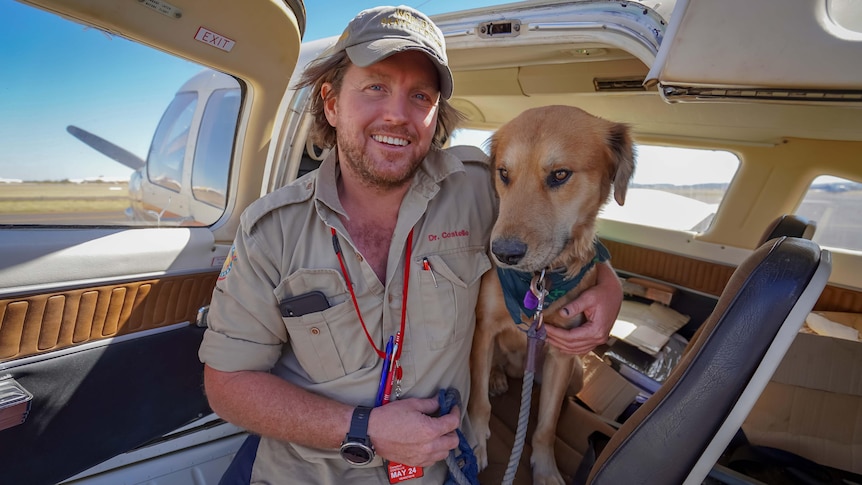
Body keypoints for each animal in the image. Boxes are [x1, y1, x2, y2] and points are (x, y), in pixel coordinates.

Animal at [470, 107, 636, 484]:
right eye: (504, 173)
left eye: (560, 174)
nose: (503, 254)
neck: (539, 279)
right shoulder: (483, 330)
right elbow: (478, 401)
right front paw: (473, 444)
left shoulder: (562, 354)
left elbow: (545, 426)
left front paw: (545, 468)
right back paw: (497, 377)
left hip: (575, 373)